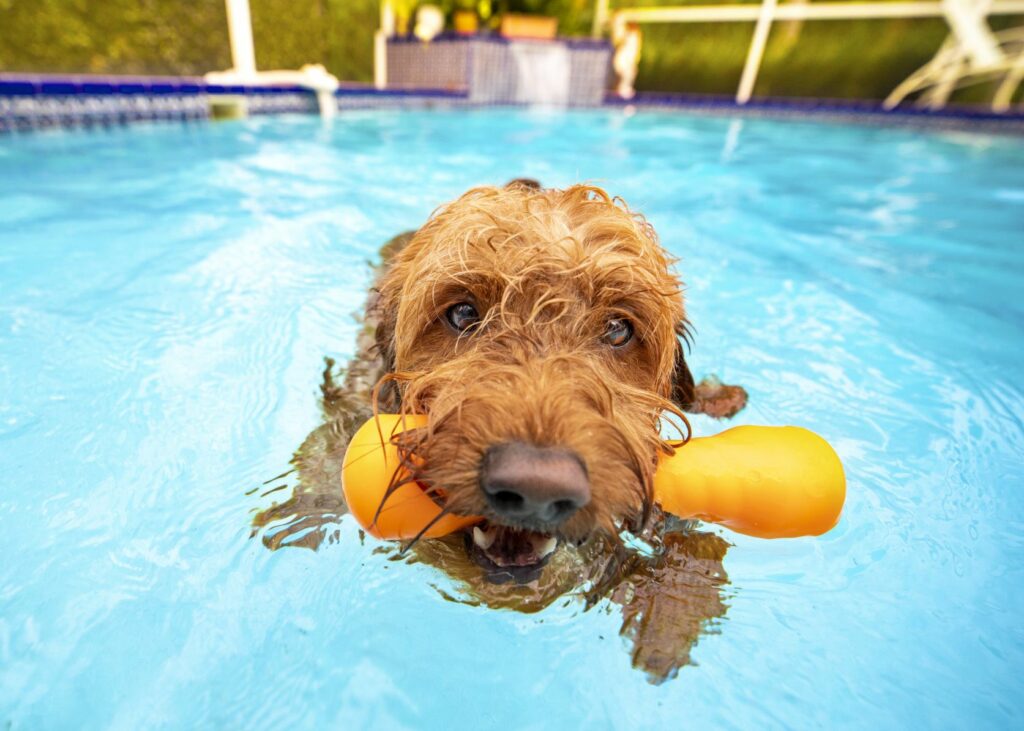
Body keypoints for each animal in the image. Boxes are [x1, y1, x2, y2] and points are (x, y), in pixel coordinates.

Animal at [256, 179, 749, 679]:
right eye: (462, 313)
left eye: (617, 329)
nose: (536, 487)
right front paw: (300, 519)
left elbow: (698, 543)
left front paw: (668, 620)